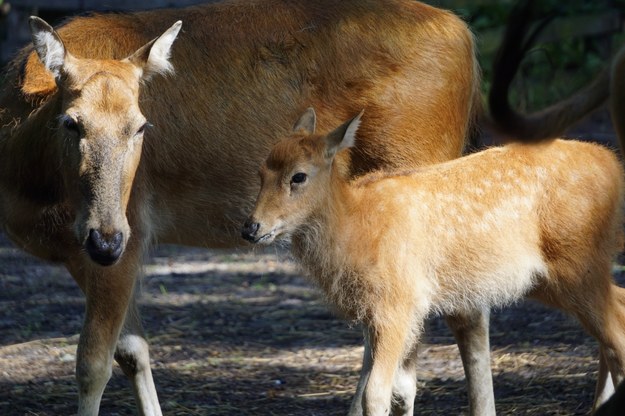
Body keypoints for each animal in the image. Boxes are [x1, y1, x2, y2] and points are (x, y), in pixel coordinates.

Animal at [0, 1, 482, 414]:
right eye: (71, 122)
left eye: (140, 126)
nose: (105, 237)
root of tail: (466, 38)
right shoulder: (84, 253)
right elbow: (133, 351)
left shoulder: (131, 231)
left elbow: (92, 364)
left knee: (460, 316)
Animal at [245, 108, 625, 416]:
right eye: (260, 172)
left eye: (298, 176)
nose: (251, 227)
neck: (357, 228)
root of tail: (612, 164)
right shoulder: (385, 312)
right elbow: (401, 391)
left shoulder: (397, 304)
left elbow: (376, 393)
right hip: (551, 279)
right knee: (617, 314)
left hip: (578, 263)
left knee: (616, 335)